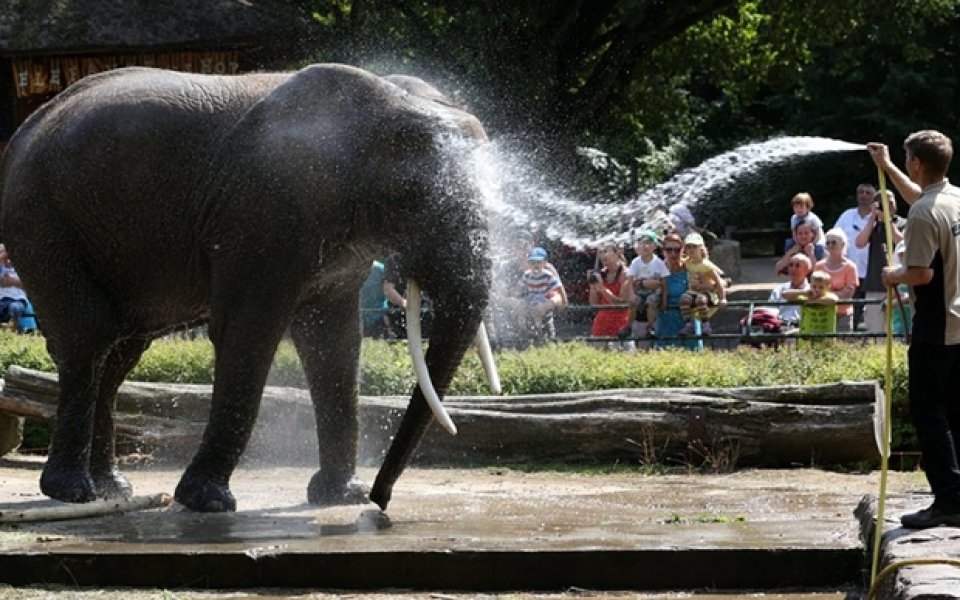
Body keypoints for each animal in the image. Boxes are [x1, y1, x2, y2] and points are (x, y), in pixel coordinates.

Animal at [0, 62, 496, 510]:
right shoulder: (261, 214)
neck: (384, 103)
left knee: (121, 351)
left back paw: (112, 490)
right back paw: (73, 493)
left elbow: (334, 343)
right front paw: (208, 502)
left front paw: (339, 498)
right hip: (40, 222)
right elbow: (248, 333)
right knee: (90, 338)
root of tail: (26, 127)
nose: (380, 500)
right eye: (412, 196)